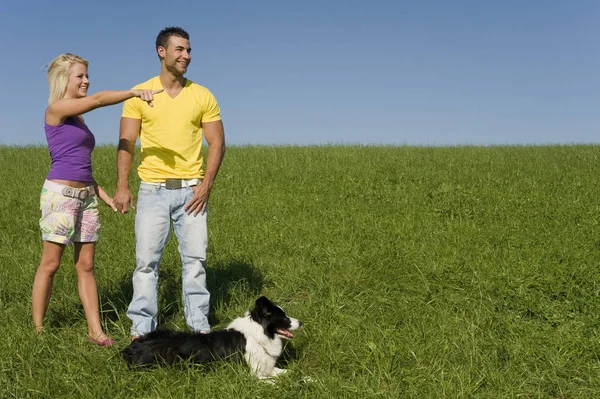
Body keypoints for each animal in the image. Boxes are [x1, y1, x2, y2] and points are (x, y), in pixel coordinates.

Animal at [122, 298, 302, 380]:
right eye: (284, 317)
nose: (301, 322)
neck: (258, 334)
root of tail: (132, 347)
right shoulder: (254, 375)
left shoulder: (268, 368)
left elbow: (292, 373)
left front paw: (305, 378)